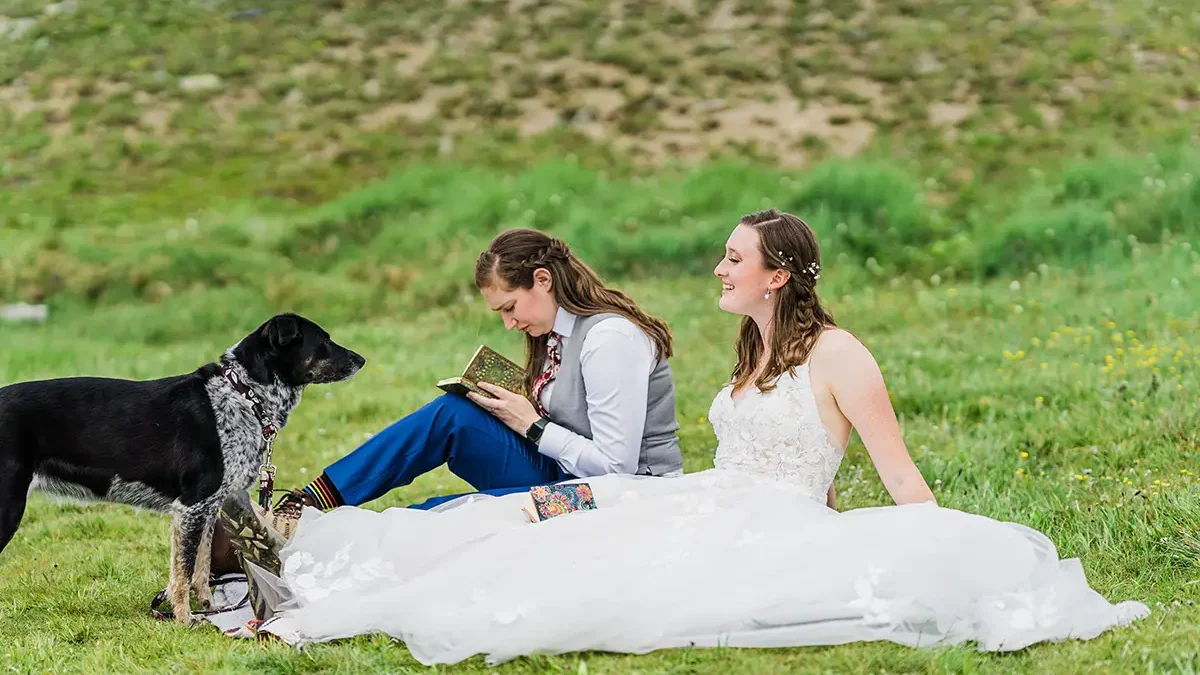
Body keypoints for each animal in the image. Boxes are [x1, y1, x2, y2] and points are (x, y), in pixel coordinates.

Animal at [0, 312, 362, 624]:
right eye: (324, 341)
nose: (362, 360)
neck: (243, 395)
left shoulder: (207, 510)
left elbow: (198, 570)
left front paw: (209, 609)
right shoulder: (191, 507)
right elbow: (184, 572)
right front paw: (185, 619)